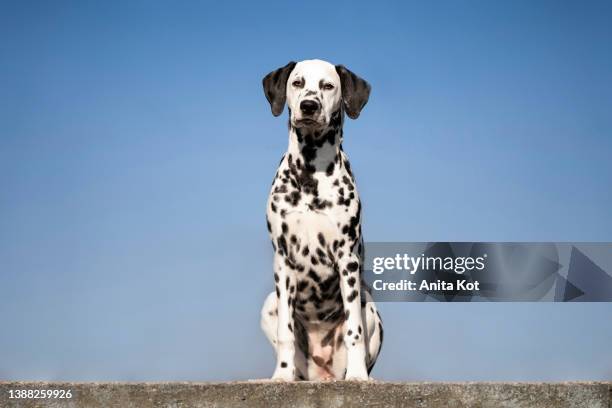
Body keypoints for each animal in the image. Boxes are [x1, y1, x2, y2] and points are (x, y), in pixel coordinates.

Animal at [258, 59, 382, 380]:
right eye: (297, 83)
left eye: (328, 85)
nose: (309, 106)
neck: (311, 172)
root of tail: (322, 373)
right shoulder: (283, 259)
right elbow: (286, 332)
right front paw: (282, 376)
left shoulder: (347, 259)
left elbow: (354, 330)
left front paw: (358, 376)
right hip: (269, 303)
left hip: (370, 306)